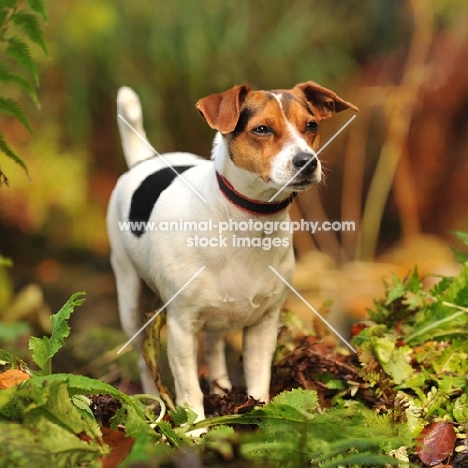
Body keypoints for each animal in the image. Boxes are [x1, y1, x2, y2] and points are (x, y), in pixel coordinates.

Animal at [107, 81, 358, 420]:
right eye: (262, 129)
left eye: (311, 126)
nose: (307, 161)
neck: (247, 222)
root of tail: (144, 160)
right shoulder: (181, 327)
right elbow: (189, 391)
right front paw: (197, 426)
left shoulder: (264, 325)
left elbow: (258, 378)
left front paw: (257, 411)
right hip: (132, 303)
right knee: (145, 361)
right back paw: (151, 401)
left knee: (213, 347)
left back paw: (221, 388)